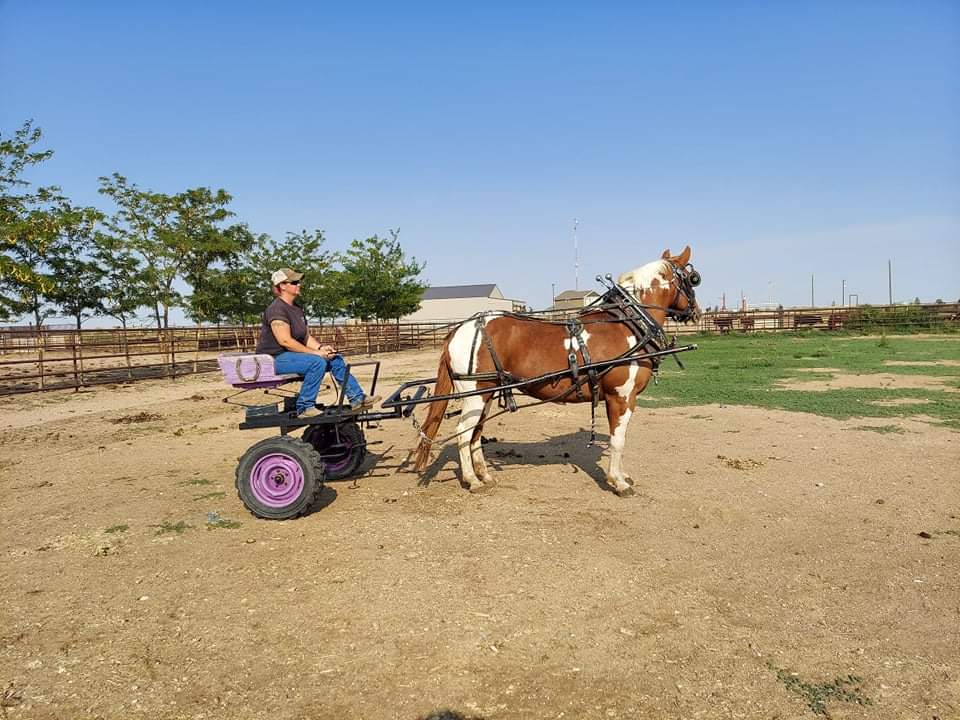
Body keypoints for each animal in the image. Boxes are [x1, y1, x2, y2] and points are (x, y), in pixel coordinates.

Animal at [408, 246, 700, 496]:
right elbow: (619, 440)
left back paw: (485, 476)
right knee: (464, 433)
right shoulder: (621, 397)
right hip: (476, 395)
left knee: (475, 434)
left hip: (487, 394)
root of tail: (459, 329)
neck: (628, 324)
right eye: (693, 278)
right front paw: (618, 482)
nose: (696, 312)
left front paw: (622, 475)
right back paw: (472, 480)